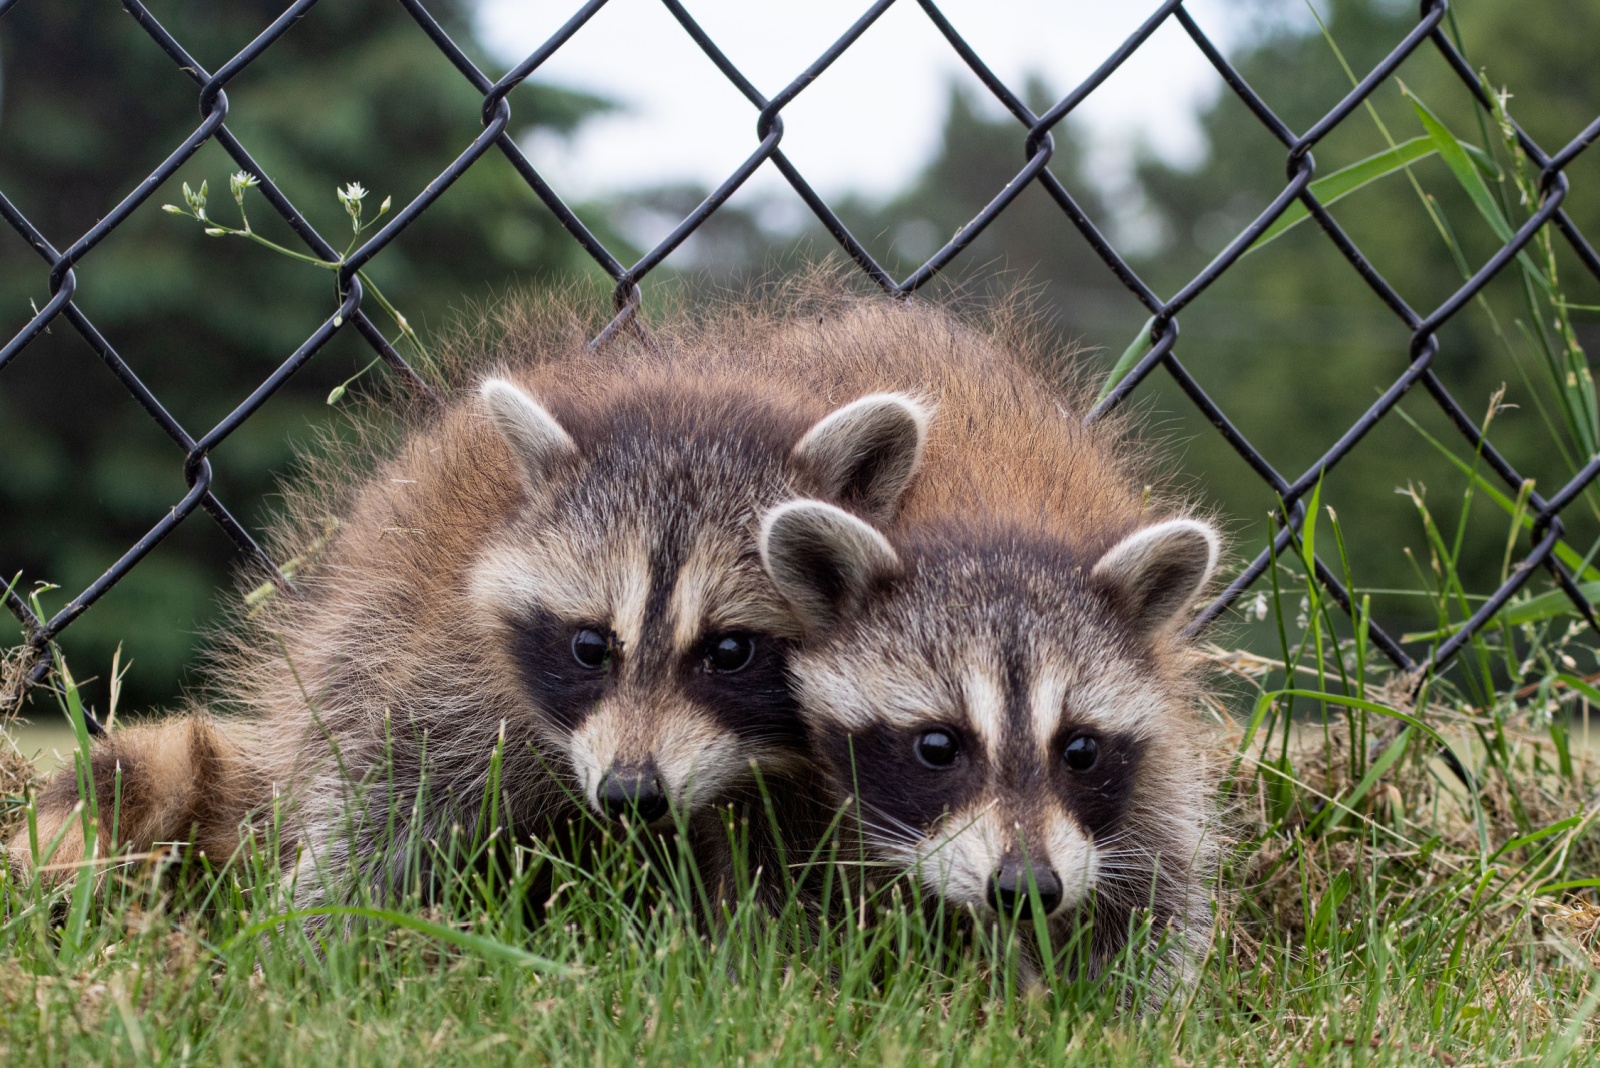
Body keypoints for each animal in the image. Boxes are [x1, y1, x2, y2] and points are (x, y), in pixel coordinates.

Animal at [6, 301, 929, 913]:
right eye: (590, 645)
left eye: (730, 650)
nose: (632, 794)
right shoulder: (448, 659)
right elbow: (385, 789)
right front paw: (311, 930)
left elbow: (785, 865)